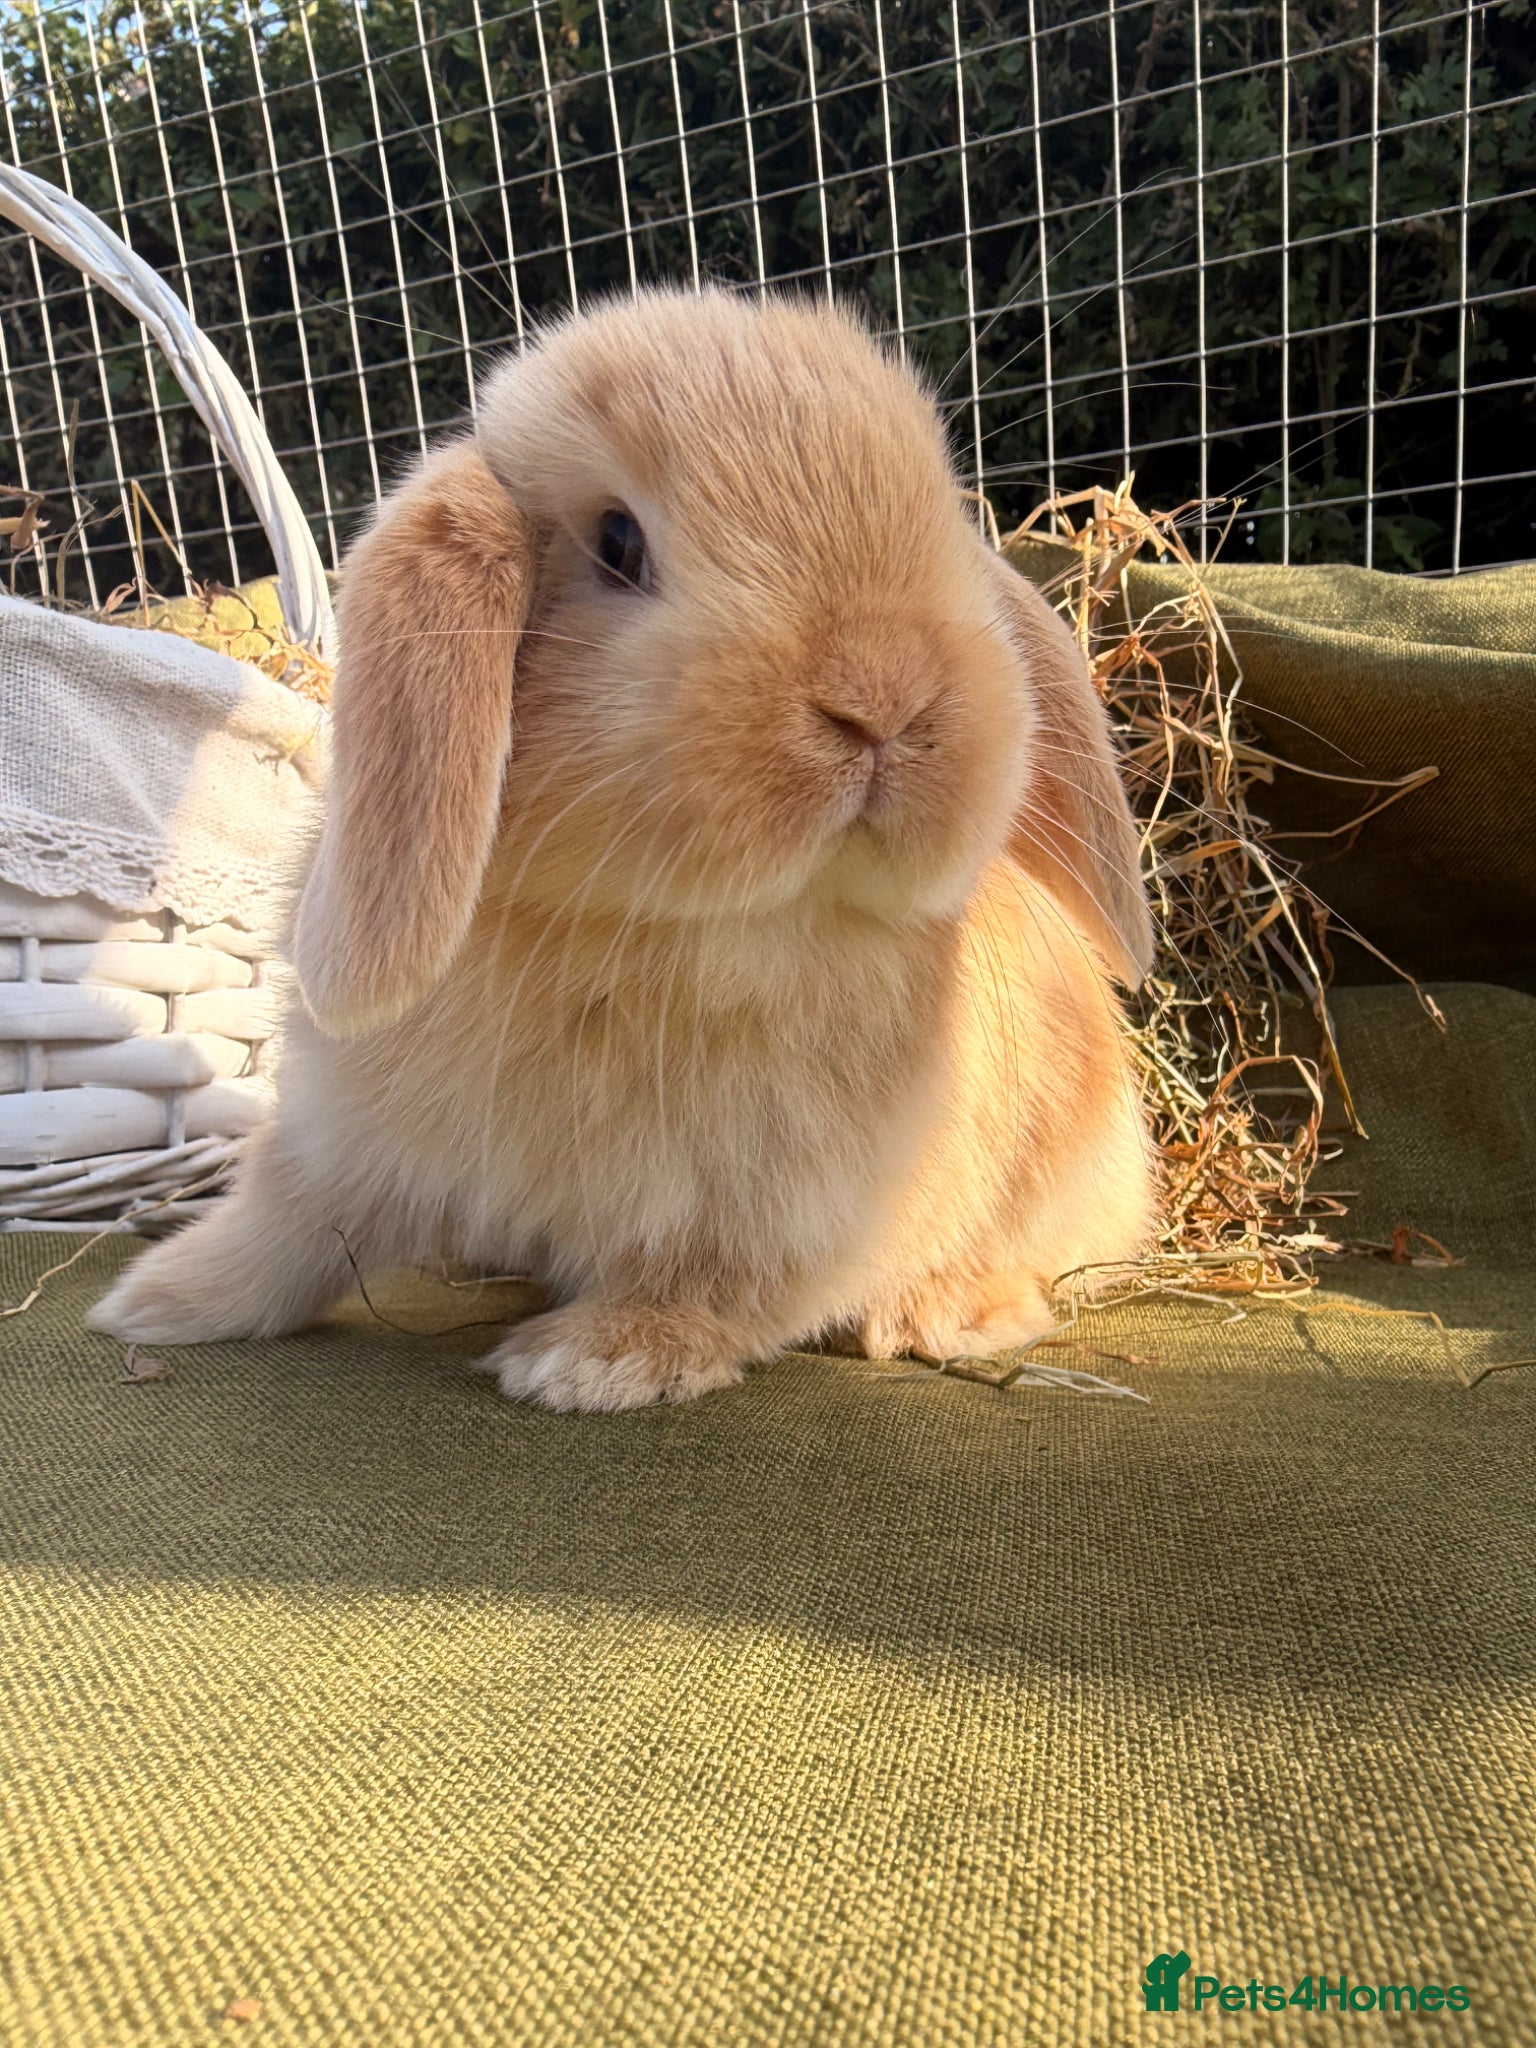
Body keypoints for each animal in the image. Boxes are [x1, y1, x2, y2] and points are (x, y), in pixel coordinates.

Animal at [88, 288, 1155, 1411]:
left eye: (942, 521)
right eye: (617, 541)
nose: (883, 694)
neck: (654, 925)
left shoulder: (781, 1201)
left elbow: (717, 1281)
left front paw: (592, 1362)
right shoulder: (342, 1140)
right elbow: (284, 1229)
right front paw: (155, 1303)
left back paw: (947, 1313)